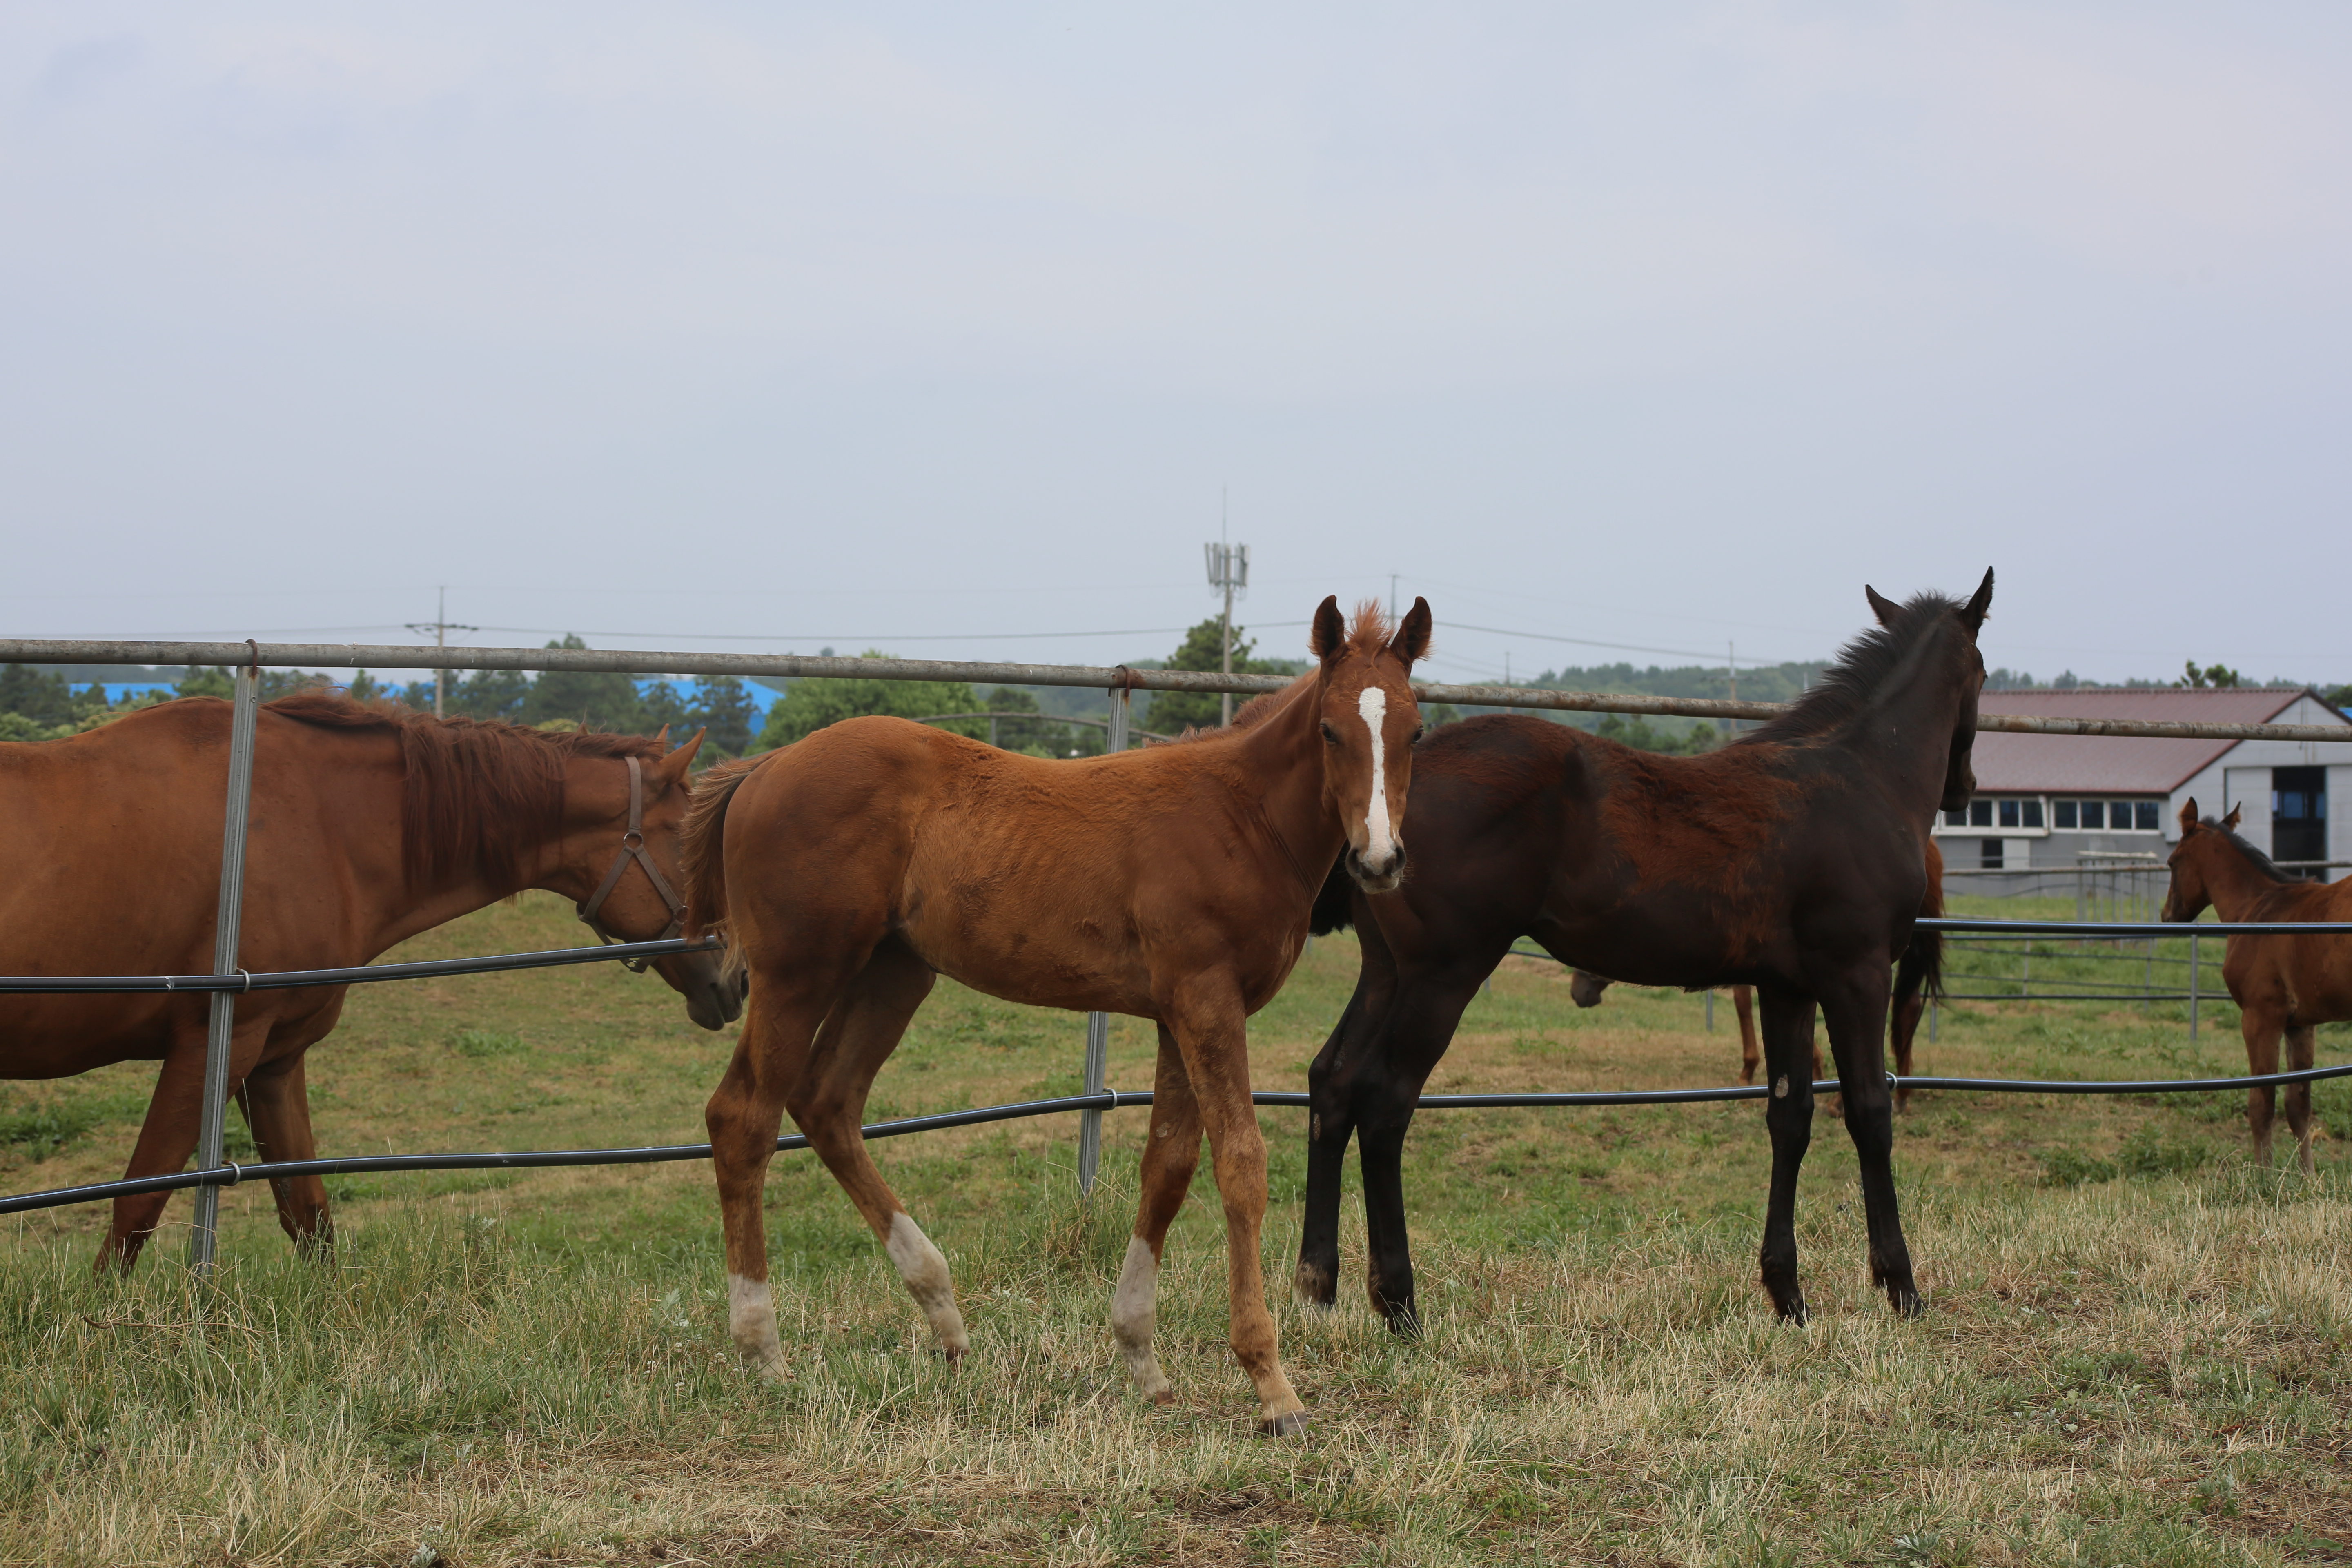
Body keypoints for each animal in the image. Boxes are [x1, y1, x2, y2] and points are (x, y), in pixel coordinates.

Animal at [0, 691, 734, 1269]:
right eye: (689, 843)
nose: (737, 980)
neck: (312, 822)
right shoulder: (211, 1047)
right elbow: (137, 1206)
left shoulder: (273, 1059)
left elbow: (309, 1216)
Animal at [682, 597, 1430, 1439]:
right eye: (1331, 731)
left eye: (1414, 732)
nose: (1380, 862)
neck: (1241, 815)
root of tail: (764, 768)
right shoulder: (1209, 1000)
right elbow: (1241, 1164)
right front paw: (1272, 1386)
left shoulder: (1176, 1013)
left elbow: (1167, 1168)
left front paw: (1143, 1361)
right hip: (798, 976)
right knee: (743, 1117)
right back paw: (765, 1351)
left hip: (893, 973)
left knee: (826, 1103)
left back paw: (945, 1319)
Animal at [1298, 576, 1994, 1335]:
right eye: (1985, 675)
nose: (1966, 788)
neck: (1863, 778)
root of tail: (1376, 815)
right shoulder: (1857, 974)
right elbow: (1869, 1112)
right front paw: (1901, 1286)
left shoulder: (1787, 988)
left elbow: (1791, 1117)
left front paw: (1788, 1295)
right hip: (1443, 976)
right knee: (1385, 1104)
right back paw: (1399, 1304)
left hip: (1387, 972)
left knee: (1333, 1082)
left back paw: (1318, 1285)